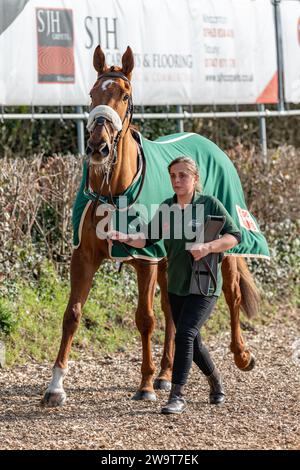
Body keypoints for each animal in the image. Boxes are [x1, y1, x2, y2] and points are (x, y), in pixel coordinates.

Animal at [41, 46, 258, 408]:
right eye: (92, 93)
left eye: (125, 95)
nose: (98, 146)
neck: (114, 191)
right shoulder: (84, 256)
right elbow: (72, 314)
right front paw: (55, 385)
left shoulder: (147, 260)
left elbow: (145, 318)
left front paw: (143, 384)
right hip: (172, 260)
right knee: (173, 310)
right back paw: (167, 373)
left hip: (223, 248)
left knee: (231, 294)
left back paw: (240, 355)